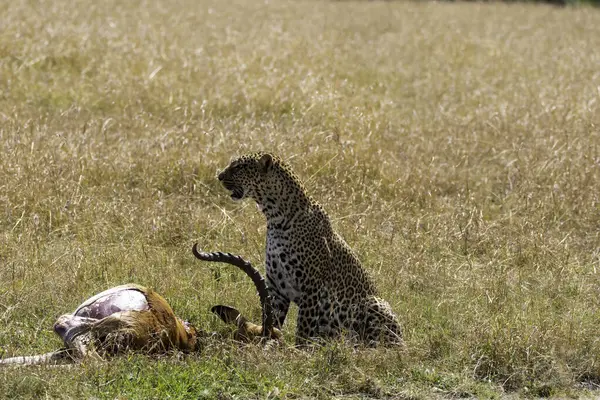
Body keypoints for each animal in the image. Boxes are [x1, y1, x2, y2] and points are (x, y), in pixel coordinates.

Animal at [216, 153, 404, 346]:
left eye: (239, 167)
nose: (219, 176)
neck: (275, 217)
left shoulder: (311, 288)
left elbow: (303, 329)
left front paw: (297, 350)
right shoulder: (276, 288)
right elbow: (272, 321)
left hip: (374, 304)